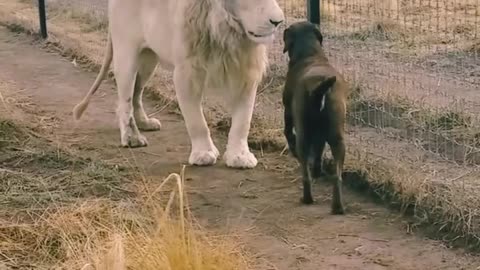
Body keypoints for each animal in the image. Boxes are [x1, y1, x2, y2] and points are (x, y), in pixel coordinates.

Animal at [71, 0, 284, 169]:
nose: (279, 21)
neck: (227, 33)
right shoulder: (185, 74)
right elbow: (196, 121)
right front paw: (203, 154)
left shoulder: (245, 74)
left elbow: (243, 121)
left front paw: (240, 156)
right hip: (127, 54)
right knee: (125, 100)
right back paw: (132, 137)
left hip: (148, 60)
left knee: (137, 93)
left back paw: (144, 123)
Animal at [284, 21, 346, 215]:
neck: (311, 54)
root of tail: (320, 87)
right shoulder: (320, 135)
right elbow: (319, 150)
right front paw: (318, 170)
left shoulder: (288, 111)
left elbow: (287, 131)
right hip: (338, 139)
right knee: (337, 177)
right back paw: (337, 206)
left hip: (303, 135)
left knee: (305, 173)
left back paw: (307, 198)